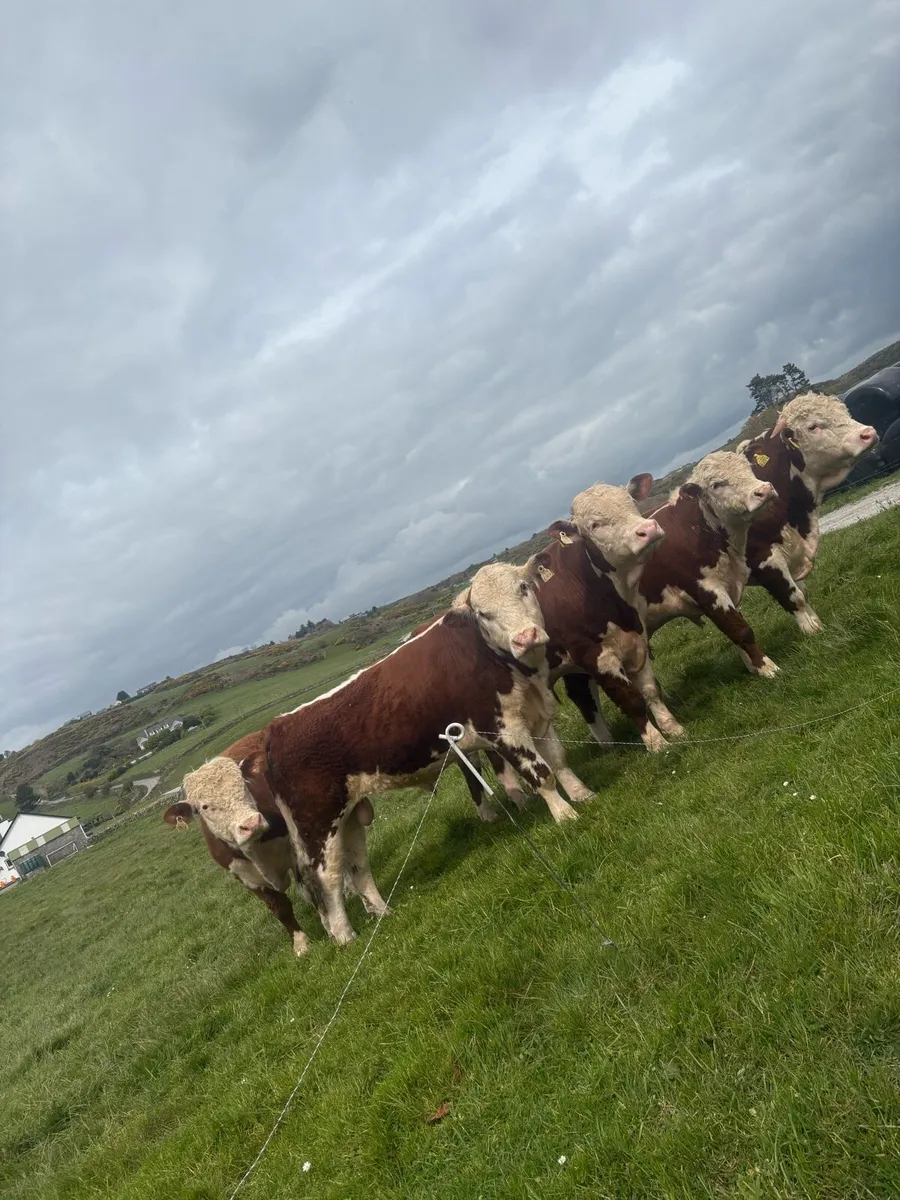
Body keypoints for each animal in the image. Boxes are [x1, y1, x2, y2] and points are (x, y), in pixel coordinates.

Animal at [163, 731, 379, 956]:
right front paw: (301, 945)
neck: (256, 850)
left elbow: (310, 889)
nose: (251, 823)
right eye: (204, 806)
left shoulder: (295, 851)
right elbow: (280, 908)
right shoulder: (246, 878)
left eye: (244, 785)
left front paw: (329, 926)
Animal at [217, 559, 593, 947]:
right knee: (328, 878)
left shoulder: (537, 716)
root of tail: (275, 729)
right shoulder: (503, 729)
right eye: (484, 613)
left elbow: (558, 760)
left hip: (349, 816)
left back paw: (382, 912)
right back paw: (345, 936)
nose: (526, 637)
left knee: (358, 866)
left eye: (523, 587)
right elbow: (541, 773)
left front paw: (583, 795)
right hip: (318, 825)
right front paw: (566, 816)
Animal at [633, 451, 779, 676]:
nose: (763, 490)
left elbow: (732, 627)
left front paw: (753, 667)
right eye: (716, 484)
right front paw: (766, 667)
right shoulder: (706, 589)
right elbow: (741, 630)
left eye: (748, 467)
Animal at [740, 391, 877, 632]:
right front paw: (810, 630)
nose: (868, 433)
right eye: (813, 426)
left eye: (844, 412)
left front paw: (816, 623)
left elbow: (802, 591)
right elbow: (793, 597)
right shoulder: (765, 560)